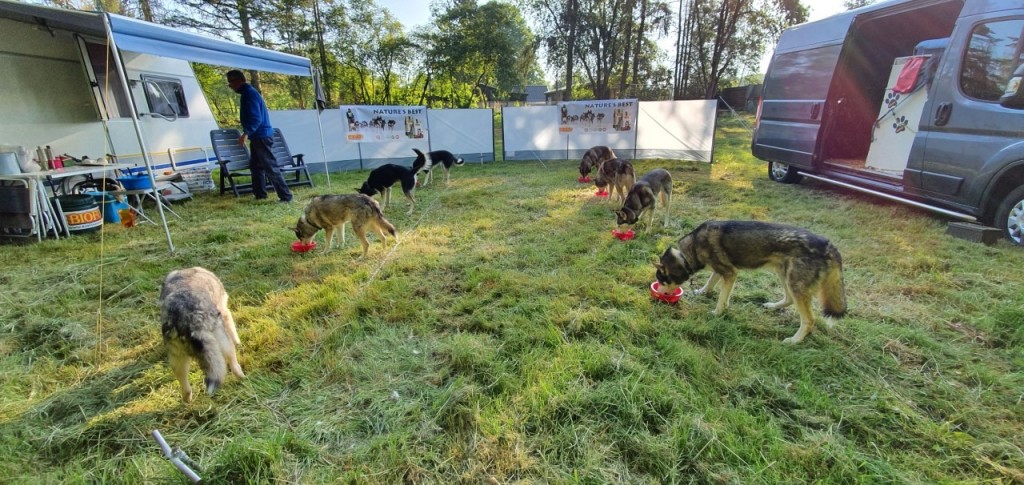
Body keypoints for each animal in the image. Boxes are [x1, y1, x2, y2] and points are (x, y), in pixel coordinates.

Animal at [161, 268, 245, 403]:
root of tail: (187, 318)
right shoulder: (225, 312)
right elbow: (233, 330)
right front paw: (238, 343)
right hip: (223, 343)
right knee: (233, 364)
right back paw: (242, 378)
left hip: (177, 359)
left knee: (184, 384)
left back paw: (187, 400)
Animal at [655, 221, 847, 343]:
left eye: (662, 280)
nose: (660, 294)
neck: (686, 255)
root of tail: (829, 245)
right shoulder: (720, 269)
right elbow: (710, 282)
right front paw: (702, 292)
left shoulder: (730, 273)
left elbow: (722, 299)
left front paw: (717, 313)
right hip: (784, 274)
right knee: (789, 299)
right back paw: (772, 306)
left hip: (795, 283)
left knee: (809, 320)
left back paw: (794, 340)